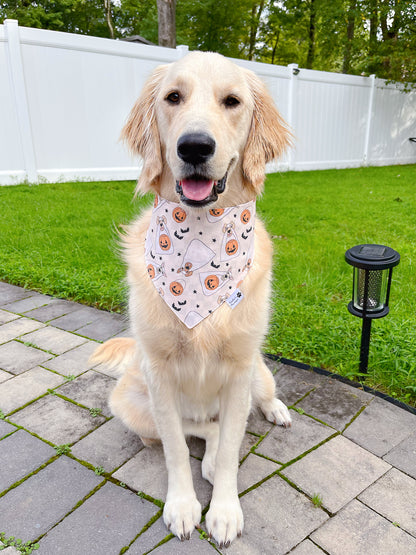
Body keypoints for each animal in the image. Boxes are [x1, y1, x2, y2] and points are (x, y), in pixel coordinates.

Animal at [91, 51, 292, 548]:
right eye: (173, 97)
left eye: (232, 101)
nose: (195, 147)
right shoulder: (159, 372)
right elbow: (178, 450)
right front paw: (183, 506)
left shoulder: (240, 370)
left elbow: (231, 451)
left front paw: (224, 511)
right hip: (130, 401)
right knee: (197, 430)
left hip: (257, 372)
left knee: (256, 402)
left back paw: (275, 411)